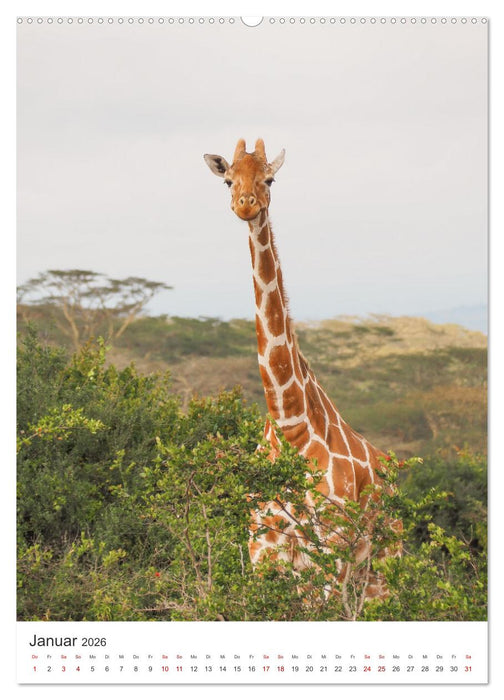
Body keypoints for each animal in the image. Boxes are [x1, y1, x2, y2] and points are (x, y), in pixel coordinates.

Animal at [204, 138, 397, 603]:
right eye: (227, 180)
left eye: (270, 179)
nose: (246, 204)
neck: (290, 424)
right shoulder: (263, 548)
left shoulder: (329, 552)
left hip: (384, 562)